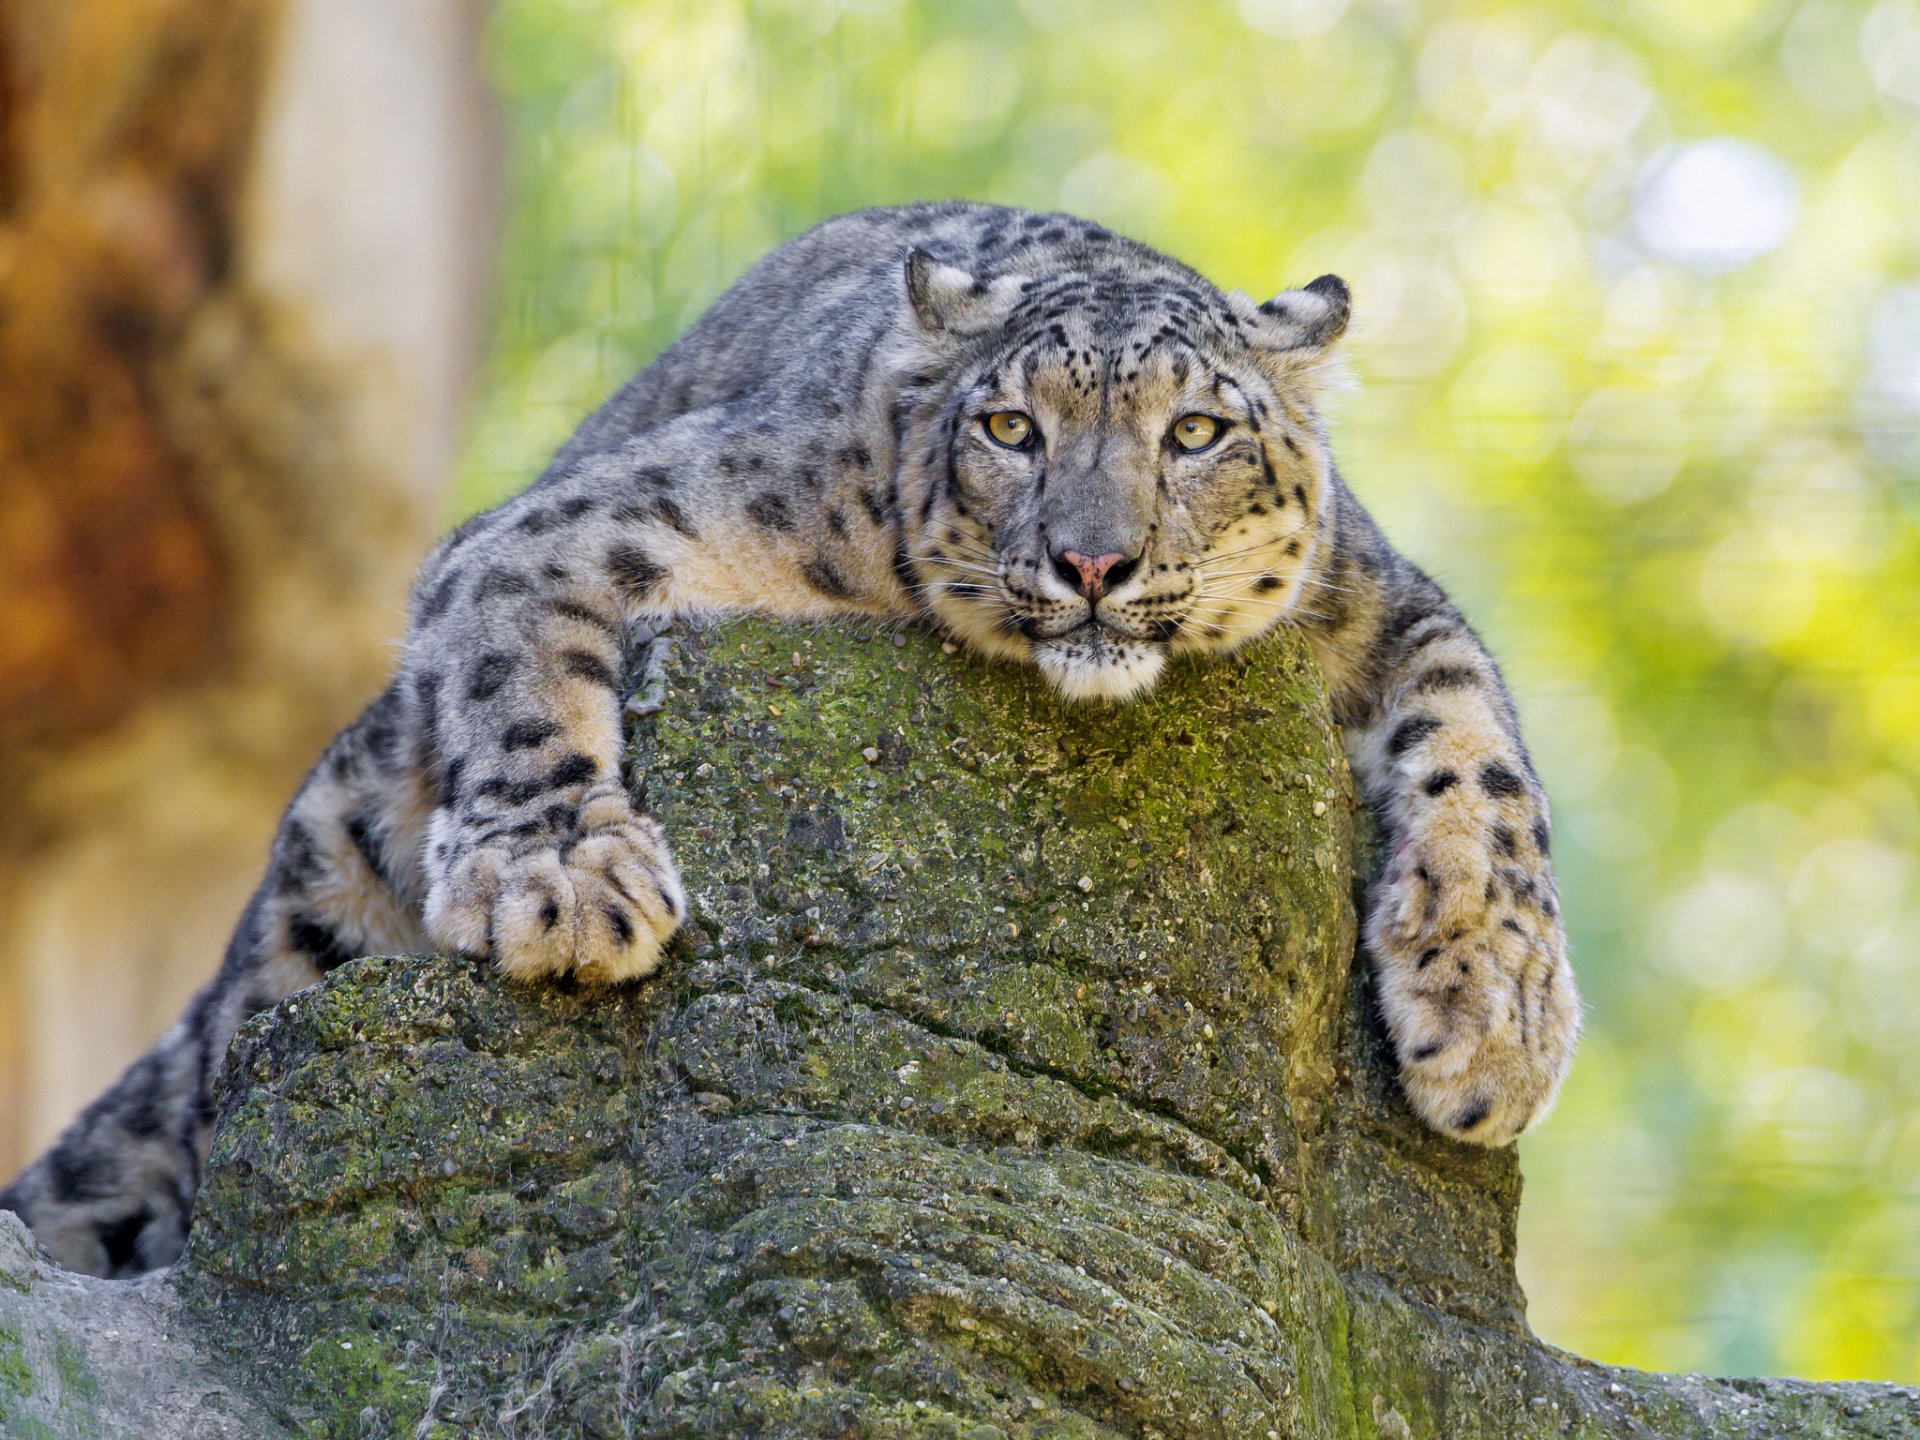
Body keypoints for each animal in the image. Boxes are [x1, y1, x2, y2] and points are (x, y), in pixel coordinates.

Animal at [2, 201, 1579, 1277]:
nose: (1092, 564)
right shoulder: (593, 519)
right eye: (1010, 426)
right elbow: (519, 659)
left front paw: (1494, 1021)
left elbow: (1485, 752)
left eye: (1195, 433)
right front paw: (563, 881)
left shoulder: (1380, 605)